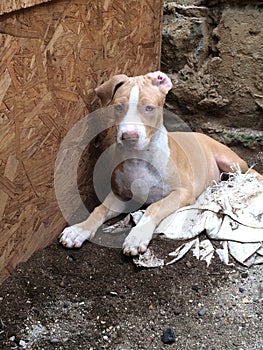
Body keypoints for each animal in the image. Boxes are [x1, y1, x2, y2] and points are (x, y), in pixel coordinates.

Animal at [59, 72, 260, 254]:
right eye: (118, 107)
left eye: (149, 108)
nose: (129, 136)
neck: (140, 157)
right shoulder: (120, 195)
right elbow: (99, 209)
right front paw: (79, 229)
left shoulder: (182, 192)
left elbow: (153, 207)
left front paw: (137, 235)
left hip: (230, 161)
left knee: (252, 172)